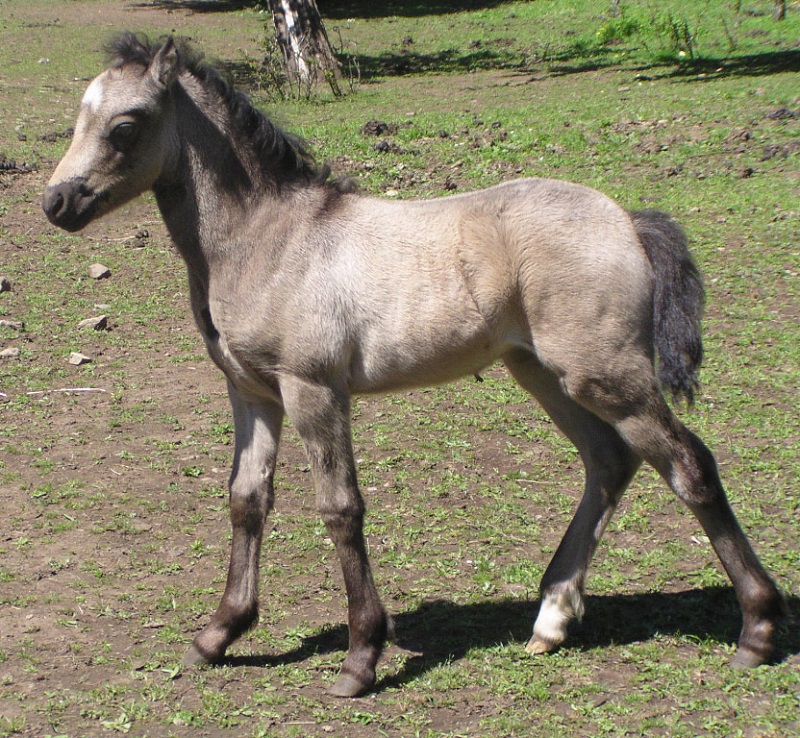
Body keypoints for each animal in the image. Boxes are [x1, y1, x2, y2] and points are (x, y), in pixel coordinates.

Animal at [42, 33, 782, 697]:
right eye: (78, 118)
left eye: (126, 126)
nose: (56, 202)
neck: (269, 239)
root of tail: (627, 221)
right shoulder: (251, 392)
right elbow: (246, 499)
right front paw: (218, 634)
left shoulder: (313, 388)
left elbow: (340, 507)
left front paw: (360, 658)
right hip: (542, 372)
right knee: (610, 460)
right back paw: (551, 618)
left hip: (604, 374)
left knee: (689, 465)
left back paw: (757, 630)